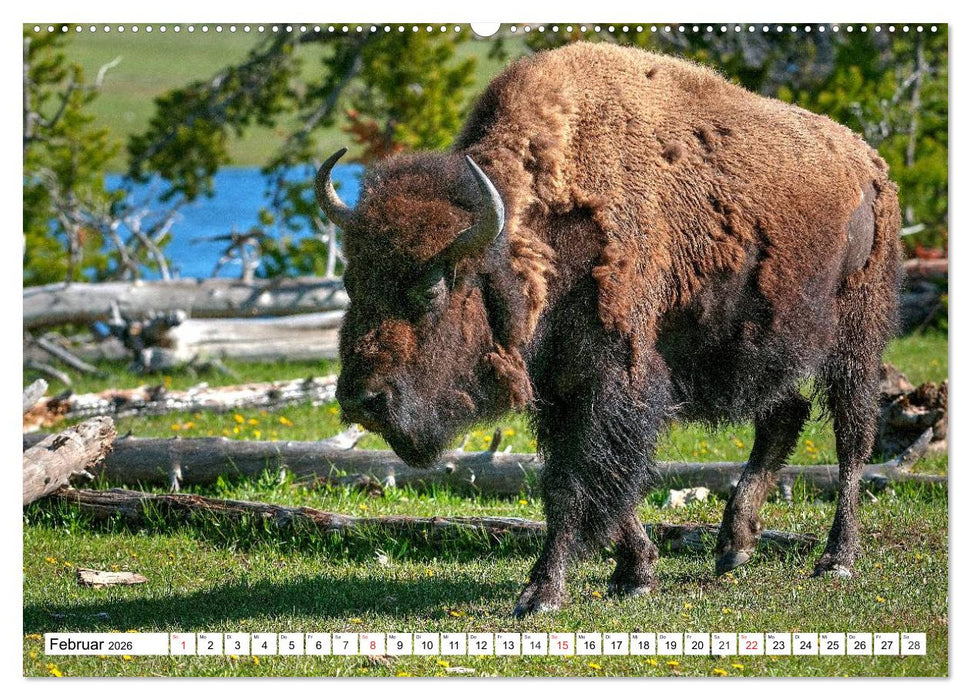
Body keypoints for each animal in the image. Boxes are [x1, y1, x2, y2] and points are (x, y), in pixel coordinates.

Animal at [315, 43, 901, 616]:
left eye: (432, 288)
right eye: (350, 281)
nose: (361, 400)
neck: (533, 238)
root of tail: (868, 163)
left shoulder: (612, 380)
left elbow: (576, 484)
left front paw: (542, 593)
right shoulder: (560, 387)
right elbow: (592, 482)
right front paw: (634, 573)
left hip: (856, 338)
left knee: (852, 438)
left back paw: (836, 558)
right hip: (757, 347)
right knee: (785, 414)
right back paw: (734, 546)